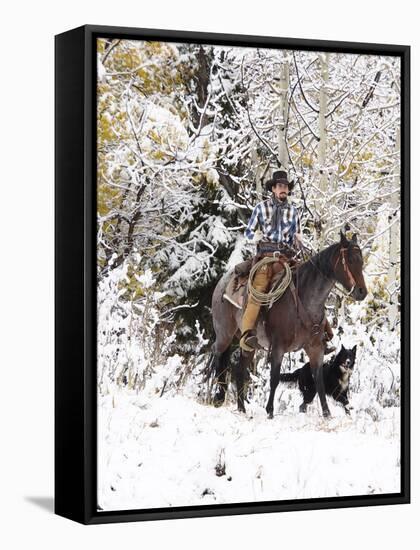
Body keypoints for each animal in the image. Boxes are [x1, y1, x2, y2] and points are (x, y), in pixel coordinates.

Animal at [210, 232, 368, 418]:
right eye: (350, 260)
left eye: (361, 261)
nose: (362, 292)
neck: (305, 301)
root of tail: (222, 282)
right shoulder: (278, 347)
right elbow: (274, 378)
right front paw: (270, 411)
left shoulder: (316, 348)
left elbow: (319, 381)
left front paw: (327, 414)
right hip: (224, 334)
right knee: (218, 358)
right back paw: (219, 397)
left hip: (248, 345)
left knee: (239, 370)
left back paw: (241, 409)